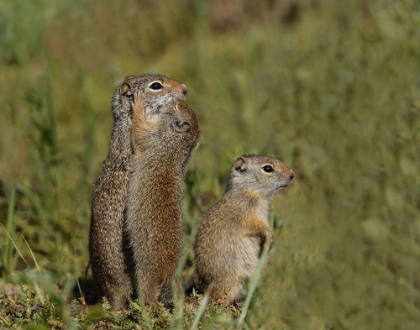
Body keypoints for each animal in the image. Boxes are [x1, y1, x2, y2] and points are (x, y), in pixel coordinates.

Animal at [124, 97, 200, 306]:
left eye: (177, 107)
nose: (176, 98)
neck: (176, 145)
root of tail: (169, 271)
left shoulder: (154, 138)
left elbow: (139, 131)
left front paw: (138, 104)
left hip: (145, 272)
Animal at [191, 155, 294, 304]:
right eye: (268, 168)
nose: (292, 174)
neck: (247, 190)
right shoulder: (246, 216)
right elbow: (258, 226)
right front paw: (270, 236)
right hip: (234, 282)